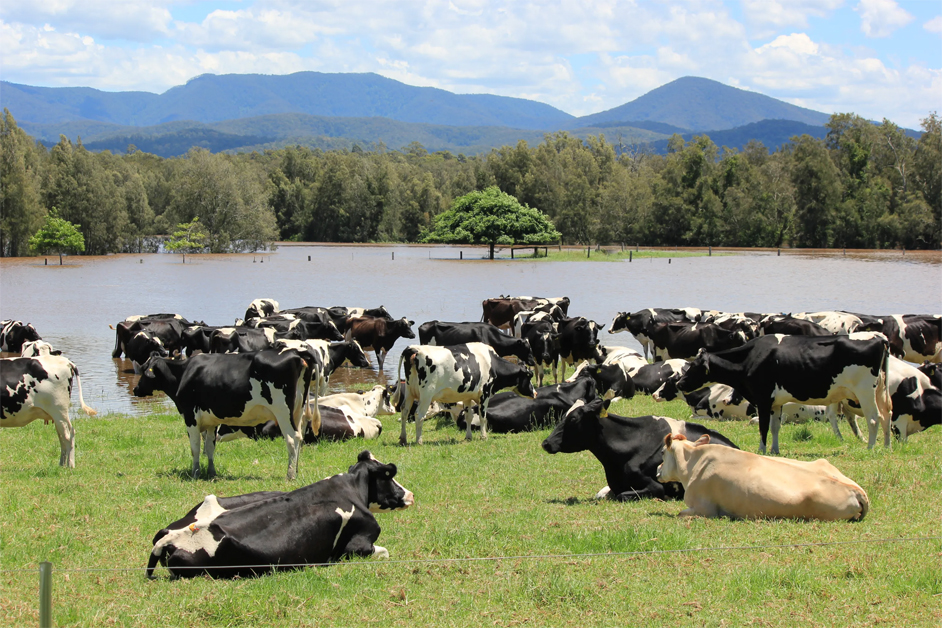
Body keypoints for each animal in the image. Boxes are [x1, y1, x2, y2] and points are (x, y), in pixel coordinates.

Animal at [133, 349, 317, 480]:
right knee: (299, 437)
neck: (184, 373)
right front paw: (211, 472)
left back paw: (290, 474)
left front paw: (195, 473)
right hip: (297, 411)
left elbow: (195, 448)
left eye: (145, 371)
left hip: (282, 410)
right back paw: (296, 470)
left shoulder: (190, 417)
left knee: (291, 438)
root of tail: (296, 354)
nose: (135, 389)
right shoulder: (211, 420)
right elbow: (209, 446)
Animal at [146, 451, 414, 579]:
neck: (351, 489)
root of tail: (170, 536)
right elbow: (385, 552)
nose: (410, 494)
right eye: (389, 477)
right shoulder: (356, 548)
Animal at [394, 342, 535, 444]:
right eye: (529, 376)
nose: (535, 393)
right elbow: (483, 417)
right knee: (419, 415)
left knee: (404, 411)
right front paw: (484, 437)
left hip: (409, 392)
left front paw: (468, 437)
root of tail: (415, 348)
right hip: (426, 394)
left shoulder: (467, 396)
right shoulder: (484, 394)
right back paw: (419, 441)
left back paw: (403, 439)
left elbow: (469, 416)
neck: (491, 362)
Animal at [656, 433, 869, 521]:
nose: (657, 469)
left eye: (663, 453)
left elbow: (681, 513)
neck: (694, 463)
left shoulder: (704, 509)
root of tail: (856, 491)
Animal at [661, 333, 891, 454]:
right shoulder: (776, 403)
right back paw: (886, 445)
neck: (752, 357)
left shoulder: (762, 400)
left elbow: (763, 427)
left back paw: (870, 447)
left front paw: (762, 450)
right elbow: (775, 427)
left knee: (873, 418)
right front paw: (775, 450)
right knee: (886, 416)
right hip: (881, 391)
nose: (680, 382)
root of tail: (879, 338)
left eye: (694, 367)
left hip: (865, 391)